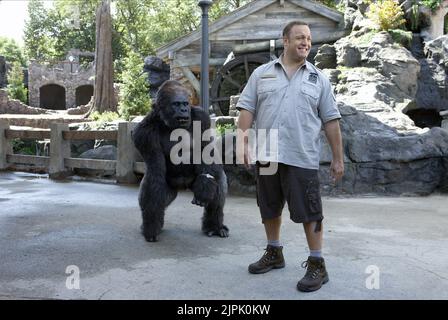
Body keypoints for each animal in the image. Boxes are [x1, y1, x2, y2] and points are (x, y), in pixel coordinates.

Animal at [131, 80, 229, 242]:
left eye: (185, 103)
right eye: (176, 104)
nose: (184, 110)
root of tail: (182, 187)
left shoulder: (202, 117)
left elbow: (206, 153)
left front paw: (205, 185)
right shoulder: (143, 132)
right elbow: (155, 173)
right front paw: (151, 228)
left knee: (218, 179)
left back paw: (214, 226)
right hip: (170, 189)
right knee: (153, 189)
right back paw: (152, 223)